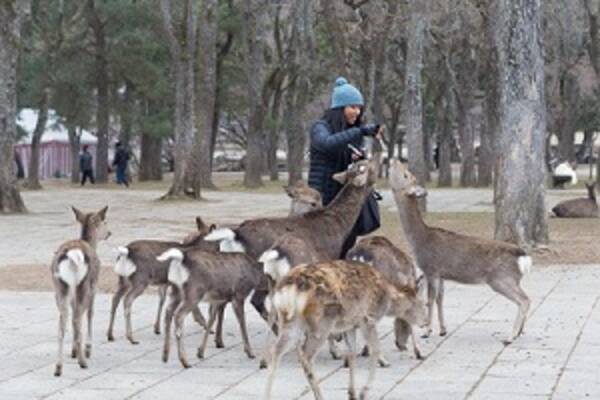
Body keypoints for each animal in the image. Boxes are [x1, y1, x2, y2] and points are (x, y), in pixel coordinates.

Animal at [51, 205, 109, 376]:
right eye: (105, 221)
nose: (109, 233)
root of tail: (73, 255)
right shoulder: (95, 286)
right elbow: (90, 313)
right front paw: (87, 349)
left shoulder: (71, 293)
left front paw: (74, 350)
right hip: (84, 284)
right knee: (77, 317)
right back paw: (83, 361)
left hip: (60, 287)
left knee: (63, 321)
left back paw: (58, 367)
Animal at [108, 217, 218, 346]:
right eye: (218, 243)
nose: (219, 252)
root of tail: (126, 252)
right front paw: (206, 326)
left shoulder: (165, 282)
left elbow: (162, 300)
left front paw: (157, 328)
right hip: (140, 279)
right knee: (127, 300)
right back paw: (131, 338)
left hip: (123, 279)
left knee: (115, 299)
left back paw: (110, 335)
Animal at [264, 260, 426, 400]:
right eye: (422, 304)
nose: (425, 322)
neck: (387, 300)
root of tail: (288, 288)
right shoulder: (368, 318)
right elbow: (375, 350)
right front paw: (363, 392)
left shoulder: (350, 325)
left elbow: (352, 353)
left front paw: (352, 394)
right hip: (322, 322)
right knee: (306, 355)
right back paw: (319, 395)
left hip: (289, 320)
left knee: (276, 350)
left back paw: (268, 395)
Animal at [386, 159, 532, 344]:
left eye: (406, 175)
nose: (394, 160)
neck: (419, 240)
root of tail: (524, 257)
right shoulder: (441, 274)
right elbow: (440, 298)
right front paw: (442, 330)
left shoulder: (431, 269)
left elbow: (429, 300)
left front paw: (427, 331)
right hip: (512, 280)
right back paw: (519, 332)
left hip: (501, 279)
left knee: (524, 300)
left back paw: (510, 336)